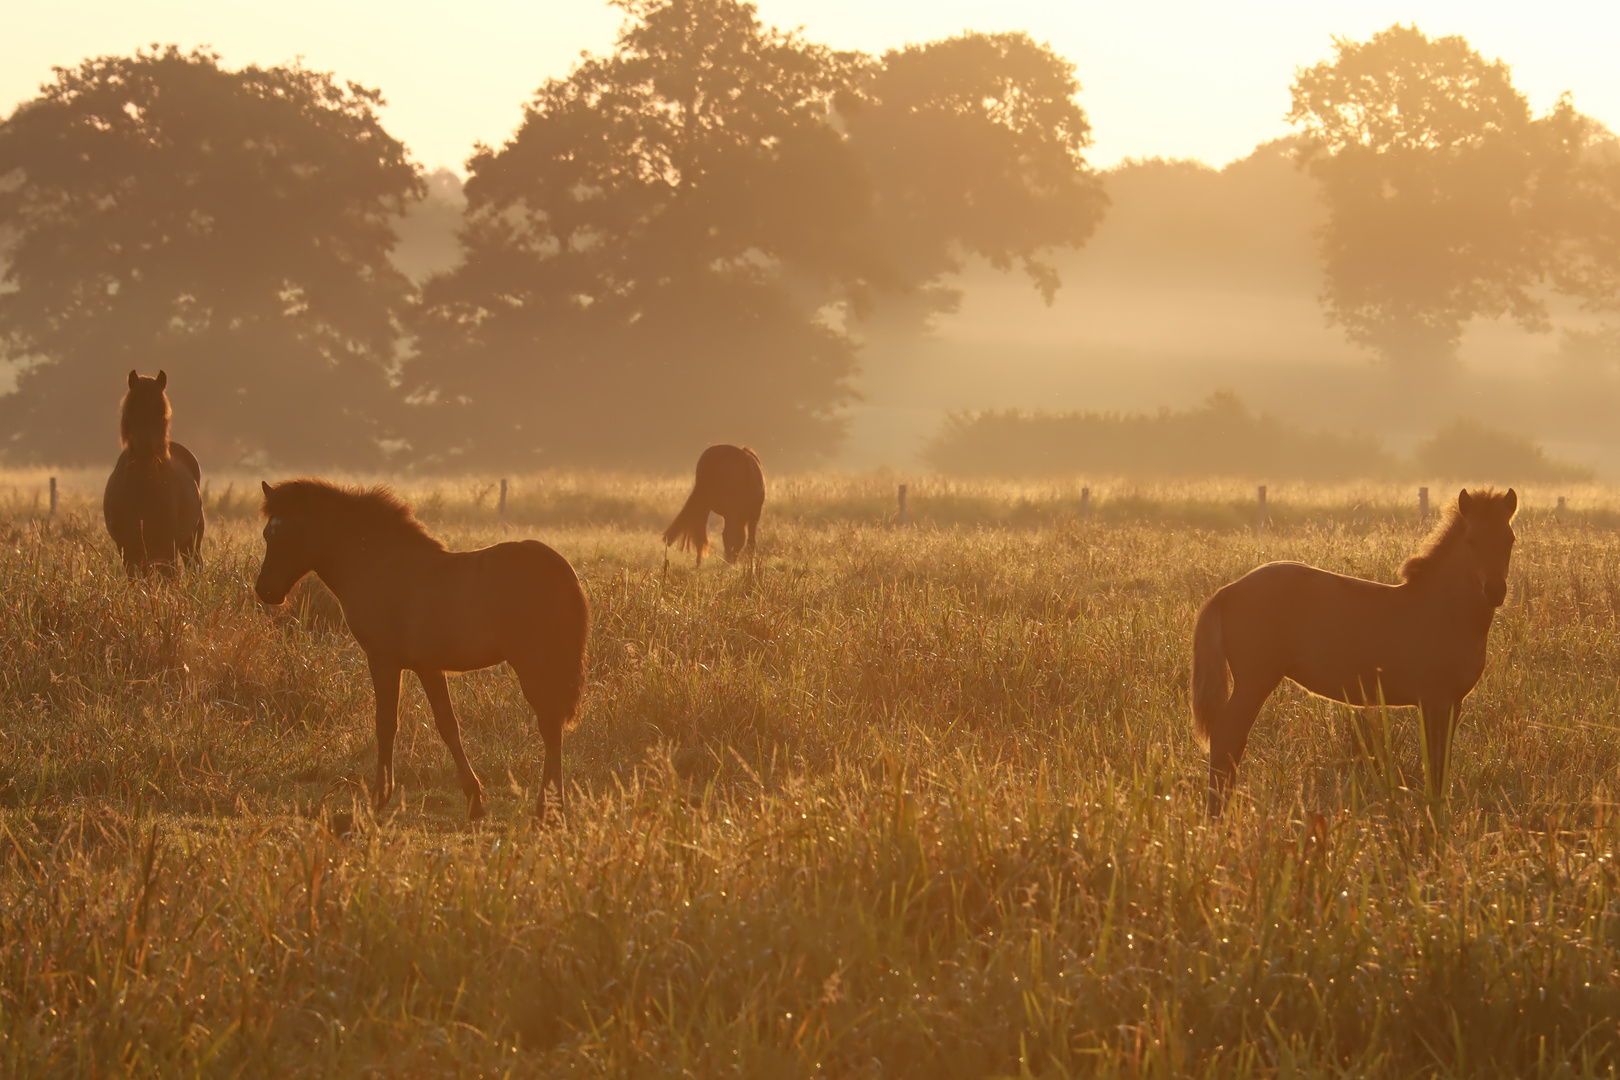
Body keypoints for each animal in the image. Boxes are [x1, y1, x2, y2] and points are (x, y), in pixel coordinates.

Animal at [102, 369, 205, 579]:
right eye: (131, 407)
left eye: (160, 409)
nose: (144, 451)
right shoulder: (128, 548)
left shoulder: (167, 545)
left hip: (190, 542)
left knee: (193, 565)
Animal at [259, 476, 596, 822]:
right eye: (267, 533)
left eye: (291, 532)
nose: (265, 590)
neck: (380, 566)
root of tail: (560, 568)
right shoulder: (429, 667)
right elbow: (448, 726)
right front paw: (474, 800)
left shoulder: (383, 661)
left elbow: (386, 725)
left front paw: (380, 797)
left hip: (533, 663)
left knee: (550, 724)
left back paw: (547, 808)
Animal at [1192, 485, 1516, 816]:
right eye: (1472, 541)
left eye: (1510, 540)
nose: (1495, 591)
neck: (1444, 610)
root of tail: (1229, 590)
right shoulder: (1434, 701)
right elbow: (1435, 764)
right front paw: (1434, 817)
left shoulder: (1452, 703)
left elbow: (1442, 761)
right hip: (1254, 682)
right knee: (1227, 738)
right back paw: (1219, 815)